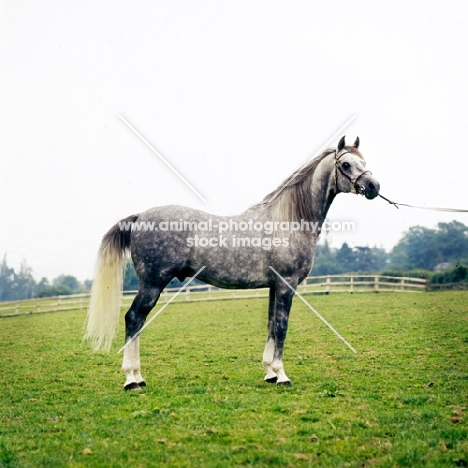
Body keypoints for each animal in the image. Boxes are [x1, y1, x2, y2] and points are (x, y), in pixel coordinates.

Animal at [85, 136, 380, 392]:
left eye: (364, 162)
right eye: (346, 164)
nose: (374, 187)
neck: (289, 219)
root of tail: (140, 217)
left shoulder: (274, 286)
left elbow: (271, 325)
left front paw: (270, 373)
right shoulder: (287, 284)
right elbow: (281, 327)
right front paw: (282, 375)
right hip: (152, 283)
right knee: (134, 318)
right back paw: (132, 379)